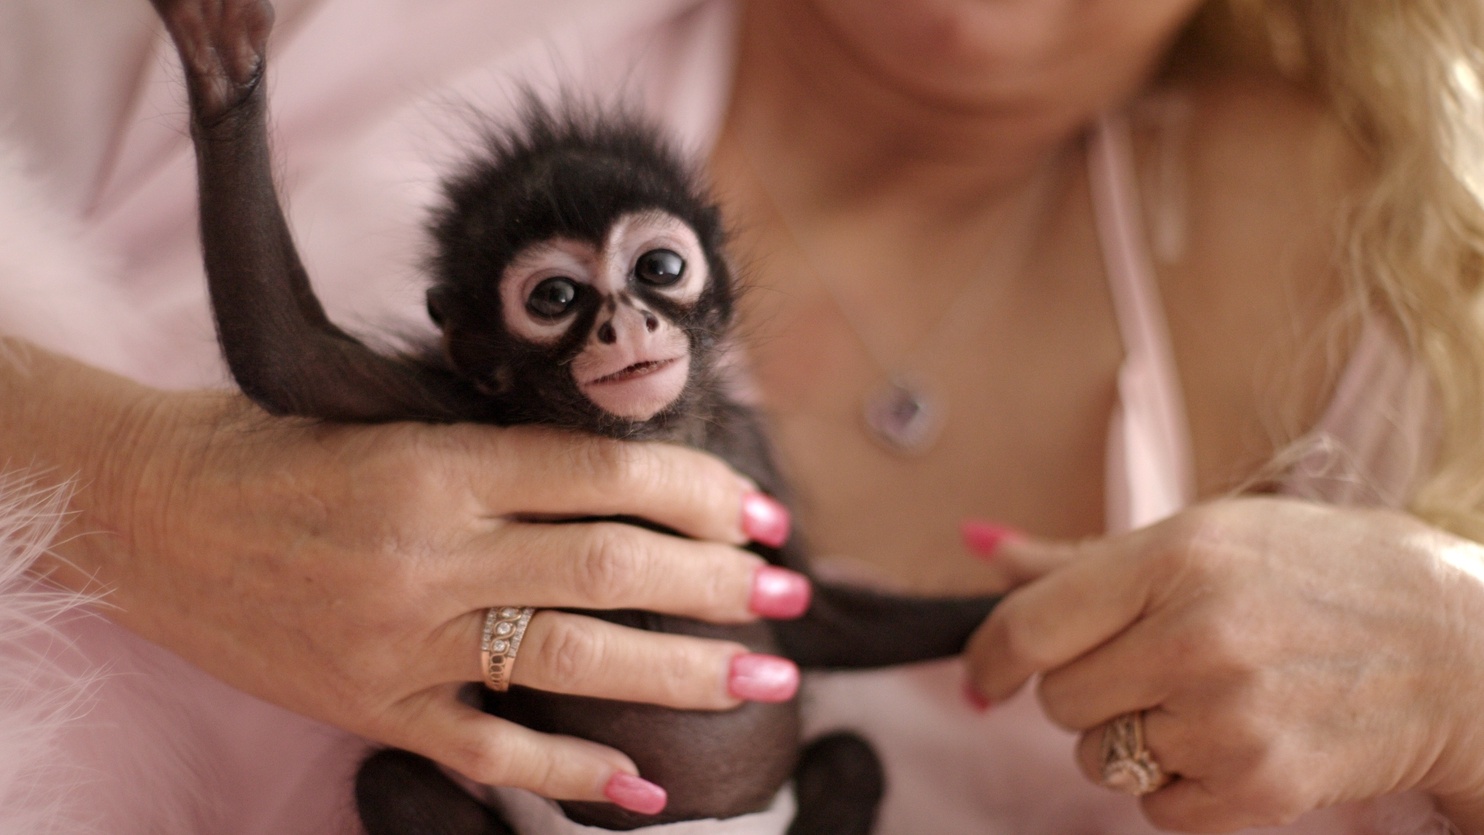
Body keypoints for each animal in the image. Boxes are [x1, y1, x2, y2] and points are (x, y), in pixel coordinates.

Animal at [150, 1, 1003, 835]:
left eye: (660, 268)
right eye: (555, 298)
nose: (625, 324)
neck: (640, 435)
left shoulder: (745, 451)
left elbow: (813, 616)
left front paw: (1020, 607)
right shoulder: (460, 403)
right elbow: (287, 357)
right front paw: (224, 71)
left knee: (854, 756)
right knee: (388, 779)